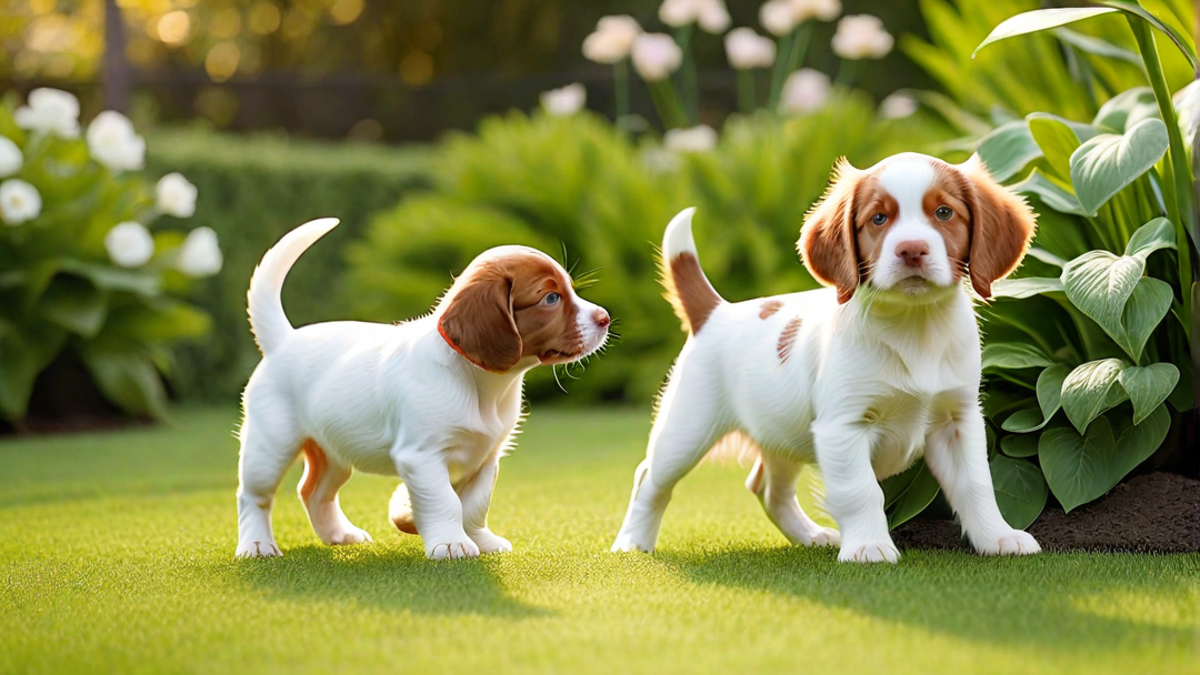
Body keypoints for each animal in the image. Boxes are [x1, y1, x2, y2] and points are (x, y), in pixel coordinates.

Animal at [236, 216, 609, 557]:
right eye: (551, 298)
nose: (605, 318)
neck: (481, 383)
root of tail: (284, 338)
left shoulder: (486, 458)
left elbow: (475, 506)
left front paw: (481, 541)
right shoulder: (422, 456)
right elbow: (446, 501)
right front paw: (451, 543)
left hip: (334, 449)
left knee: (314, 491)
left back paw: (340, 534)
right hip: (271, 445)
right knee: (254, 496)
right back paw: (256, 544)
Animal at [614, 153, 1036, 562]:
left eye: (945, 213)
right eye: (878, 218)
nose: (912, 249)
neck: (914, 326)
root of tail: (716, 311)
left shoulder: (956, 420)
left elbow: (976, 484)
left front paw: (998, 537)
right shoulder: (843, 426)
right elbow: (861, 490)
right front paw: (868, 546)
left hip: (780, 431)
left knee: (768, 488)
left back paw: (811, 536)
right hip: (687, 428)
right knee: (649, 477)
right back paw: (632, 541)